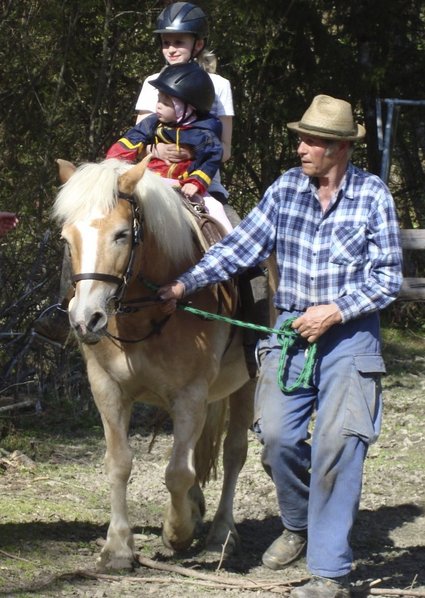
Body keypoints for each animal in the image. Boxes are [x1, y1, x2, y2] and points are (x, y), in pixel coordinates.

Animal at [53, 157, 258, 568]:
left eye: (121, 235)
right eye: (67, 239)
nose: (86, 320)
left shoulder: (190, 394)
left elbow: (178, 471)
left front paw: (177, 532)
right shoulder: (107, 389)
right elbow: (119, 463)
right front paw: (117, 547)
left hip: (247, 383)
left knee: (233, 454)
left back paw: (220, 534)